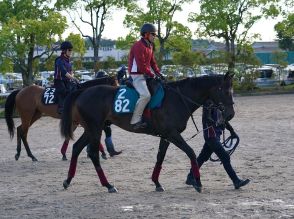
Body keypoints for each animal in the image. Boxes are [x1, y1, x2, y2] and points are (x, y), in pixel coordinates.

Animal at [60, 73, 235, 193]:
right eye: (226, 91)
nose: (230, 114)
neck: (177, 98)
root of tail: (82, 91)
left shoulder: (166, 136)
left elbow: (160, 157)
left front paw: (157, 182)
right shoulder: (172, 134)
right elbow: (191, 152)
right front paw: (197, 182)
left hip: (91, 130)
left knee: (77, 148)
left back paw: (68, 180)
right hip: (95, 129)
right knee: (93, 154)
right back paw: (108, 185)